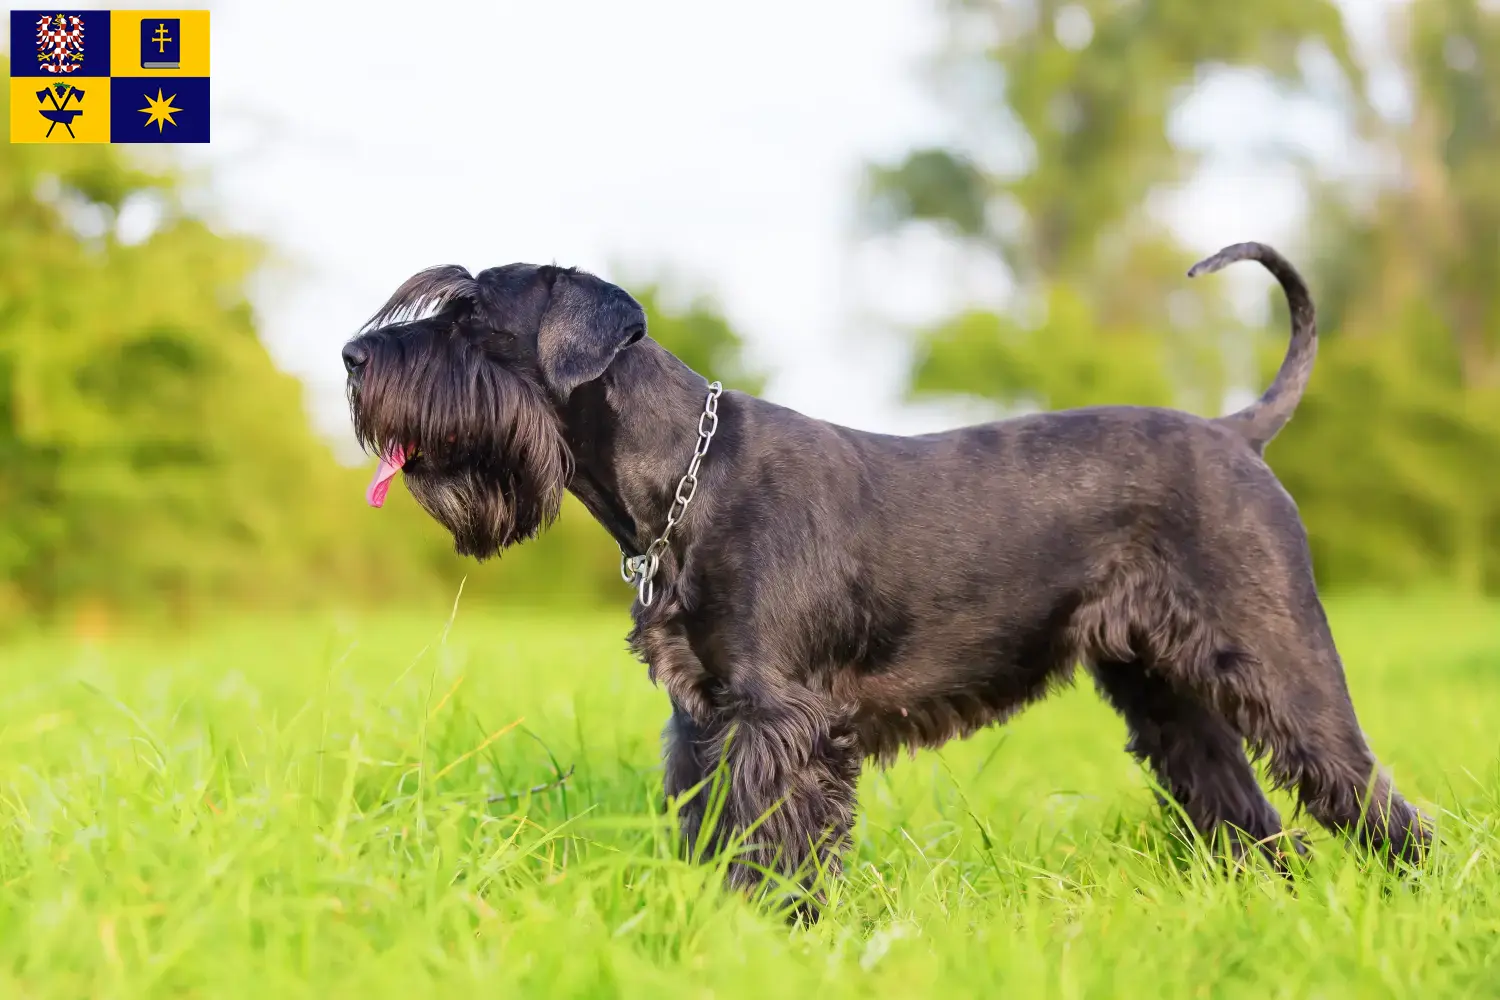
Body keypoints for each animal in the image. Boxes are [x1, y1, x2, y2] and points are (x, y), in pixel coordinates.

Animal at [343, 242, 1428, 899]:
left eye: (472, 320)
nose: (354, 356)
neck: (683, 473)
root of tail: (1235, 431)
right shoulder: (704, 719)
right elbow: (709, 828)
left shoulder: (782, 720)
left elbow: (774, 841)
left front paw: (769, 928)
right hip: (1166, 692)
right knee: (1244, 810)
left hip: (1282, 660)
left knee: (1366, 792)